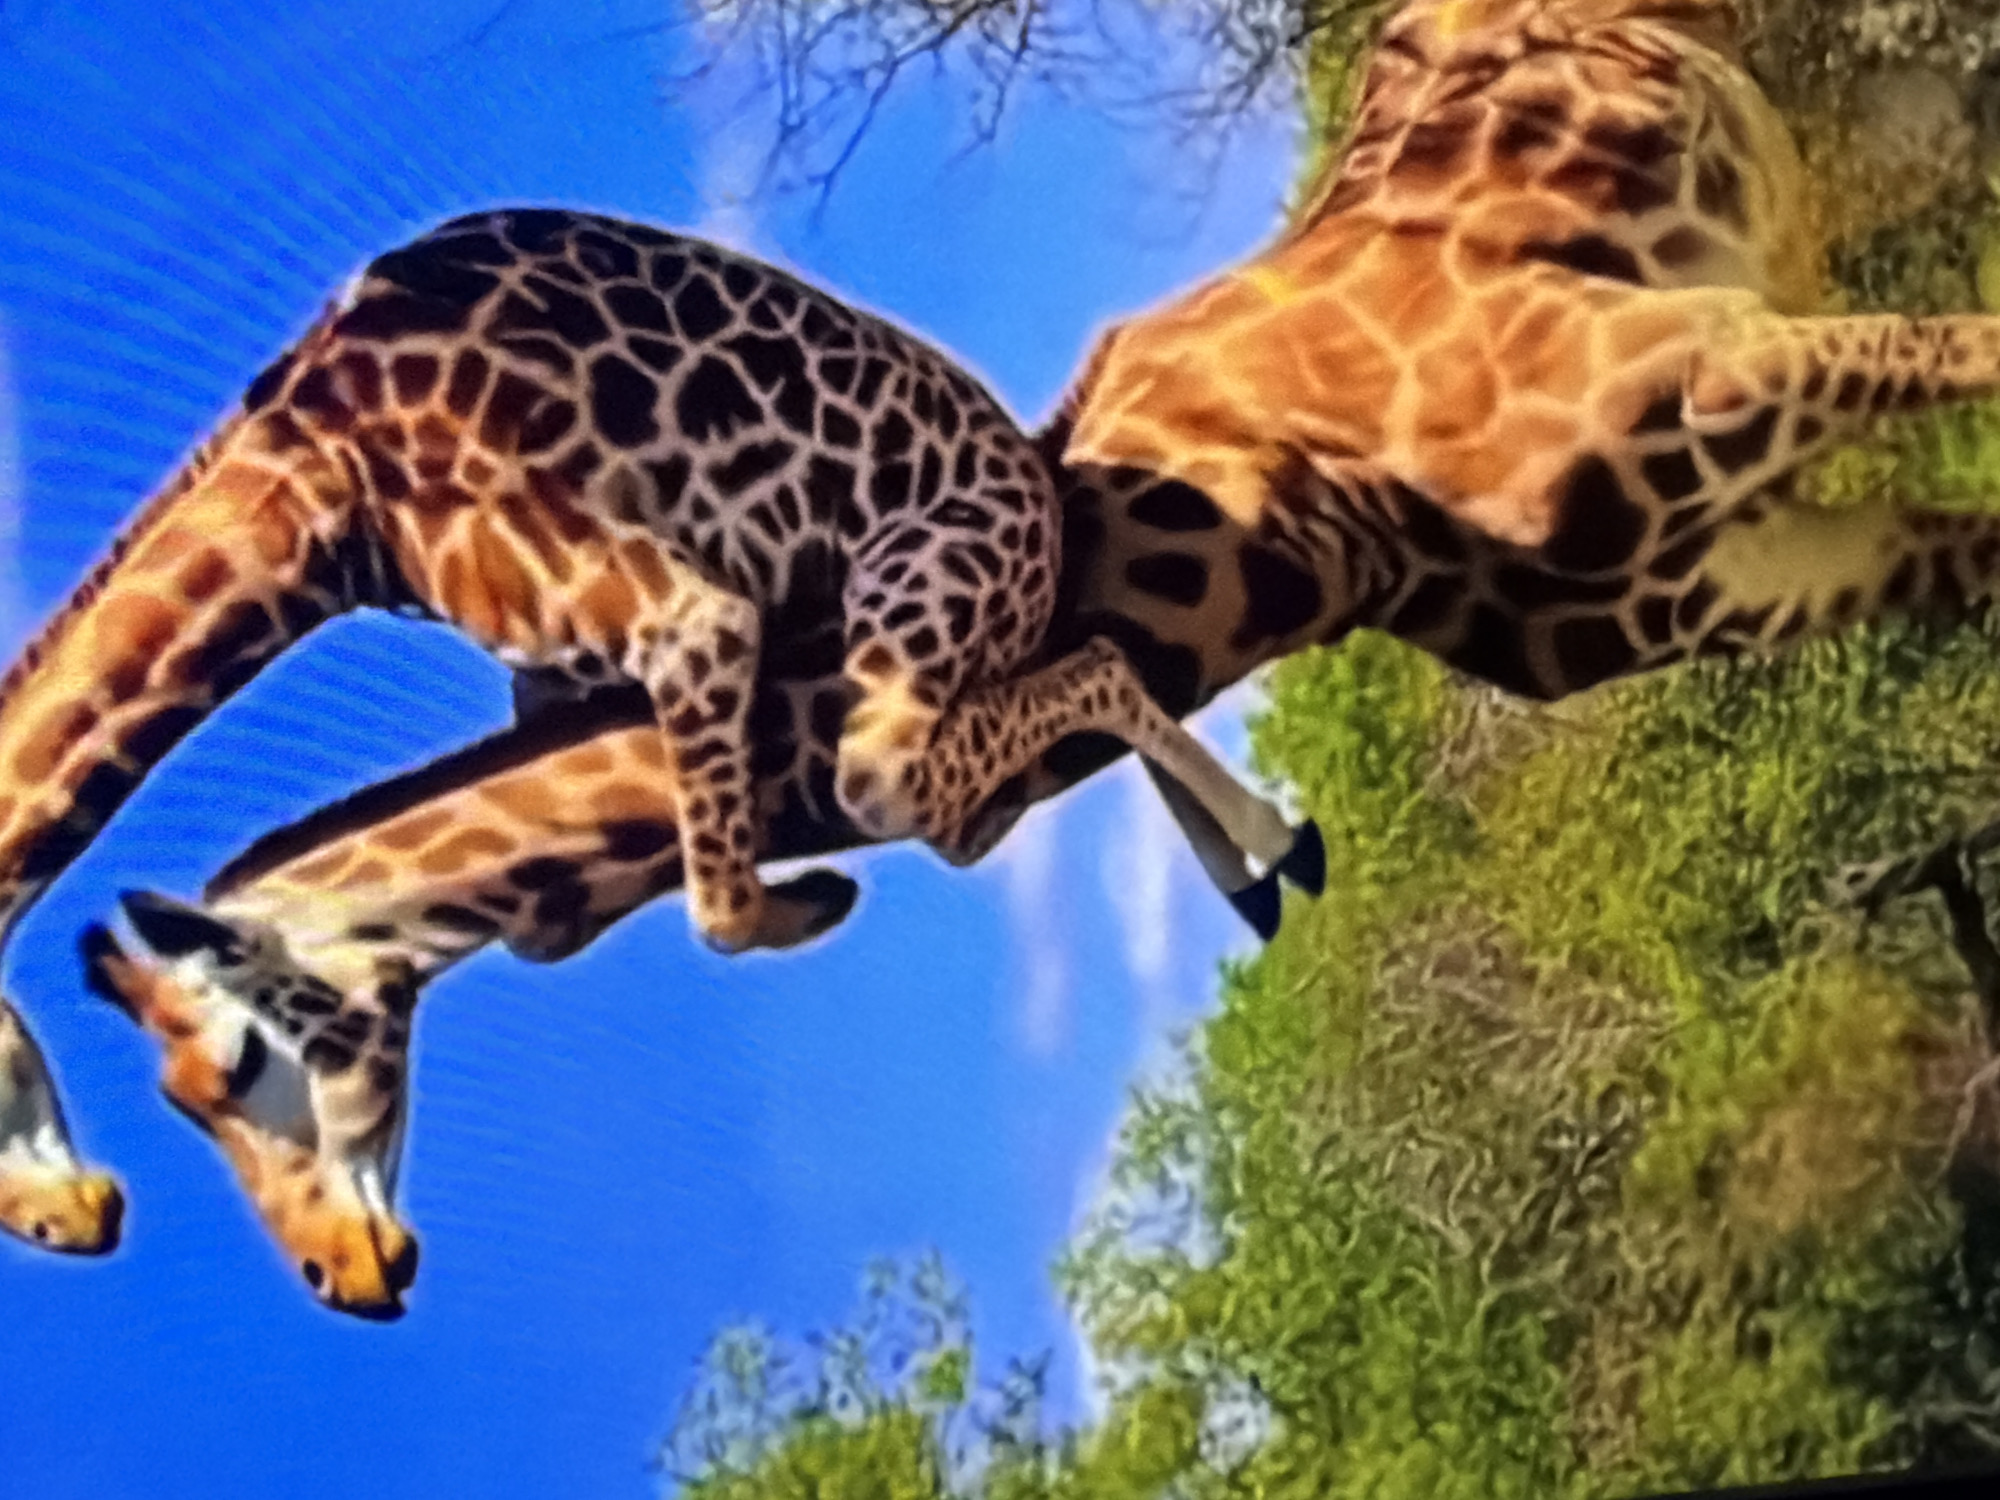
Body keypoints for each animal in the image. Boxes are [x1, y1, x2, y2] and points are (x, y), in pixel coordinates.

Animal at [0, 209, 1325, 1291]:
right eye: (172, 1104)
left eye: (233, 1068)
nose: (348, 1275)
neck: (323, 480)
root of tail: (1031, 471)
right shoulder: (554, 682)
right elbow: (552, 902)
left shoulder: (684, 620)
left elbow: (714, 905)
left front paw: (814, 894)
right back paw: (1244, 862)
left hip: (929, 577)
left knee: (1008, 706)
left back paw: (1268, 842)